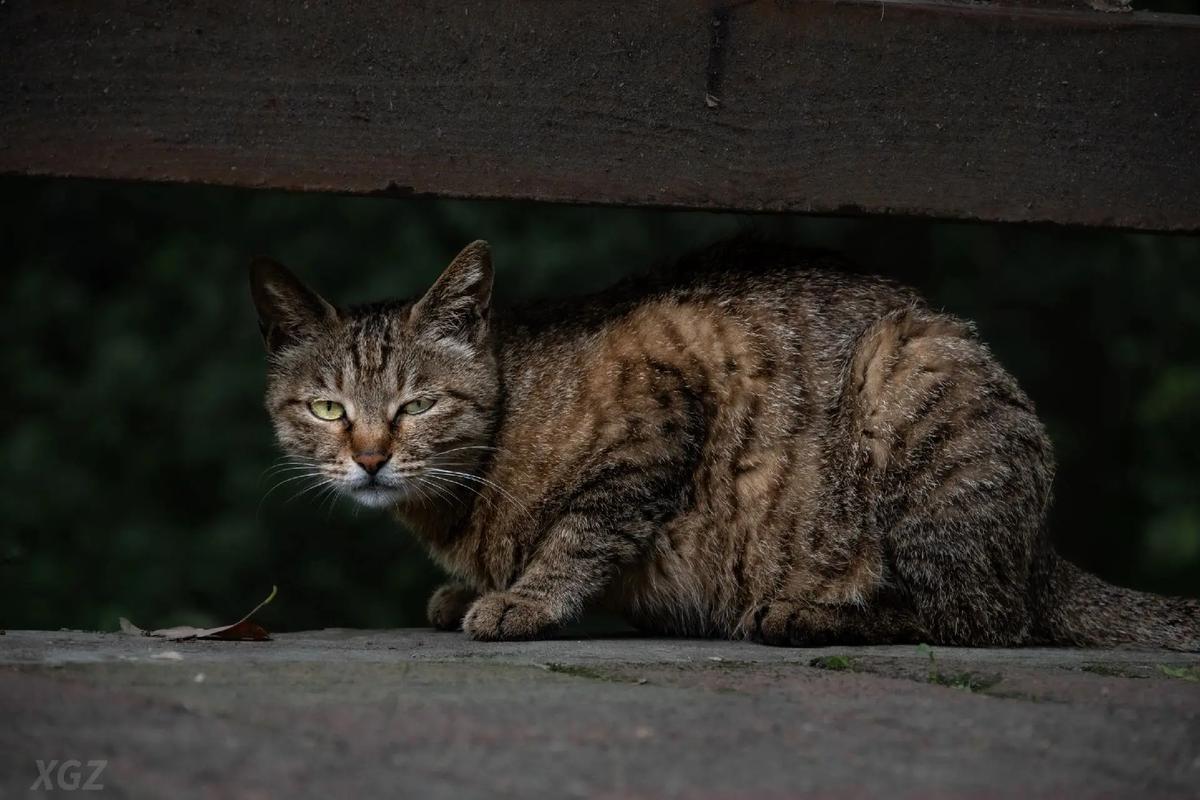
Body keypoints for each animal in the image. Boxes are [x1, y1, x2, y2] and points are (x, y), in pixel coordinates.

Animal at [248, 237, 1195, 652]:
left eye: (419, 404)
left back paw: (809, 614)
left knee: (980, 620)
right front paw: (474, 590)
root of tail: (1042, 554)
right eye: (329, 409)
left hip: (914, 378)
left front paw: (524, 599)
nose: (371, 456)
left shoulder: (667, 389)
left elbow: (583, 532)